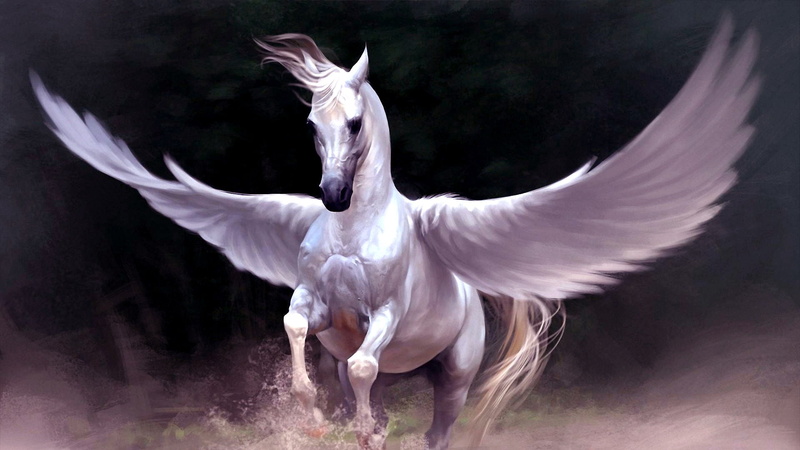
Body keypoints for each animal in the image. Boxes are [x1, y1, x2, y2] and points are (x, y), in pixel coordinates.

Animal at [32, 15, 758, 449]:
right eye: (311, 124)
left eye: (355, 123)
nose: (331, 195)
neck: (354, 230)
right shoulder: (315, 304)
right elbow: (301, 335)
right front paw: (313, 415)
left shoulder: (382, 314)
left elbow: (361, 361)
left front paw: (354, 430)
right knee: (367, 382)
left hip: (453, 378)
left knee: (429, 424)